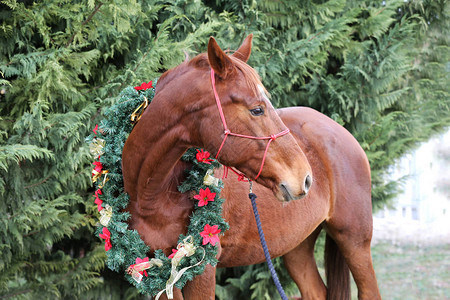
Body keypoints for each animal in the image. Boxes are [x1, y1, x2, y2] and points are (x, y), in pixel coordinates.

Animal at [122, 35, 380, 300]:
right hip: (298, 248)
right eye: (257, 109)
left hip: (354, 241)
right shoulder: (159, 271)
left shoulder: (203, 269)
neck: (155, 193)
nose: (305, 178)